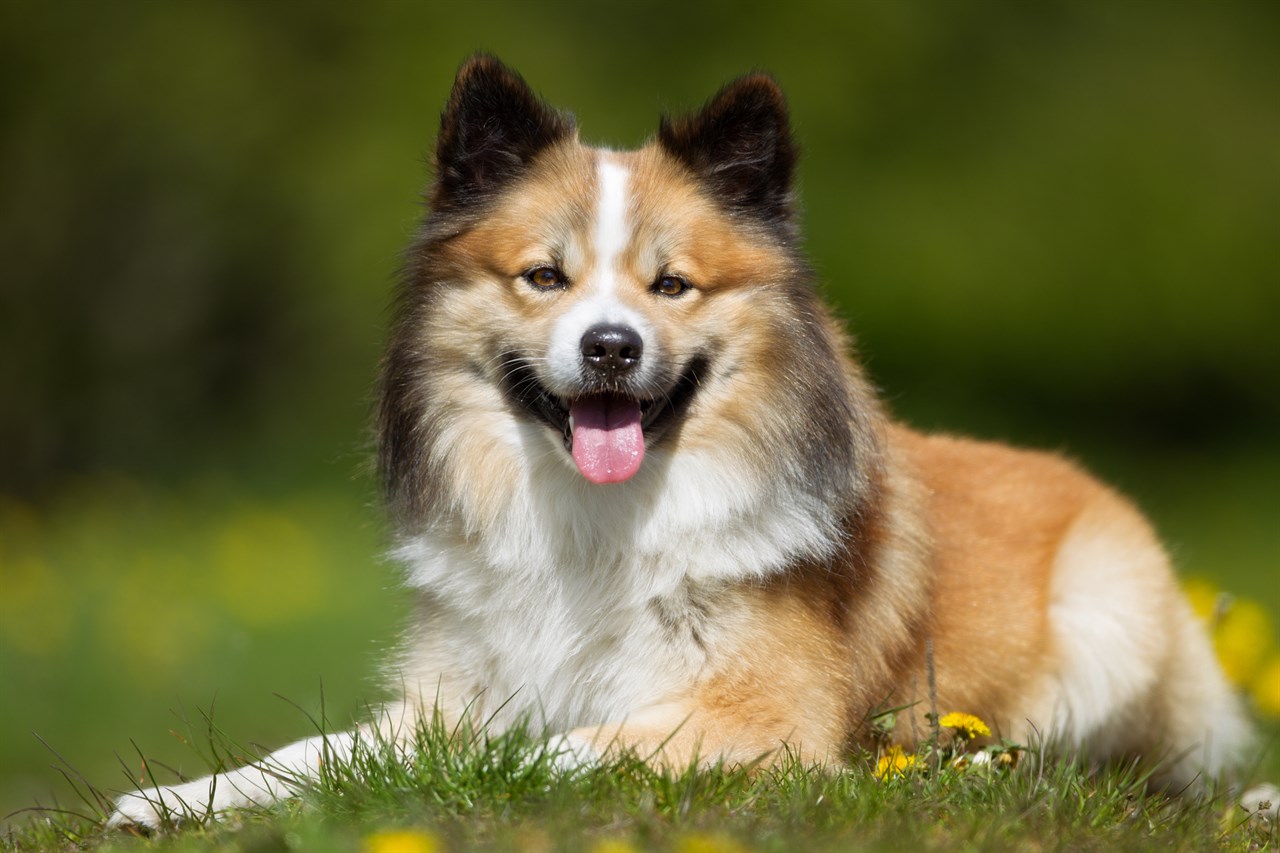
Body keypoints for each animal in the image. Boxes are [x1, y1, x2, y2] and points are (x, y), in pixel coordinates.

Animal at [112, 53, 1269, 824]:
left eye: (671, 285)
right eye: (544, 276)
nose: (612, 346)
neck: (597, 524)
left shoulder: (756, 719)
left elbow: (561, 747)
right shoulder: (449, 695)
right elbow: (319, 750)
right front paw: (177, 798)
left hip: (1106, 625)